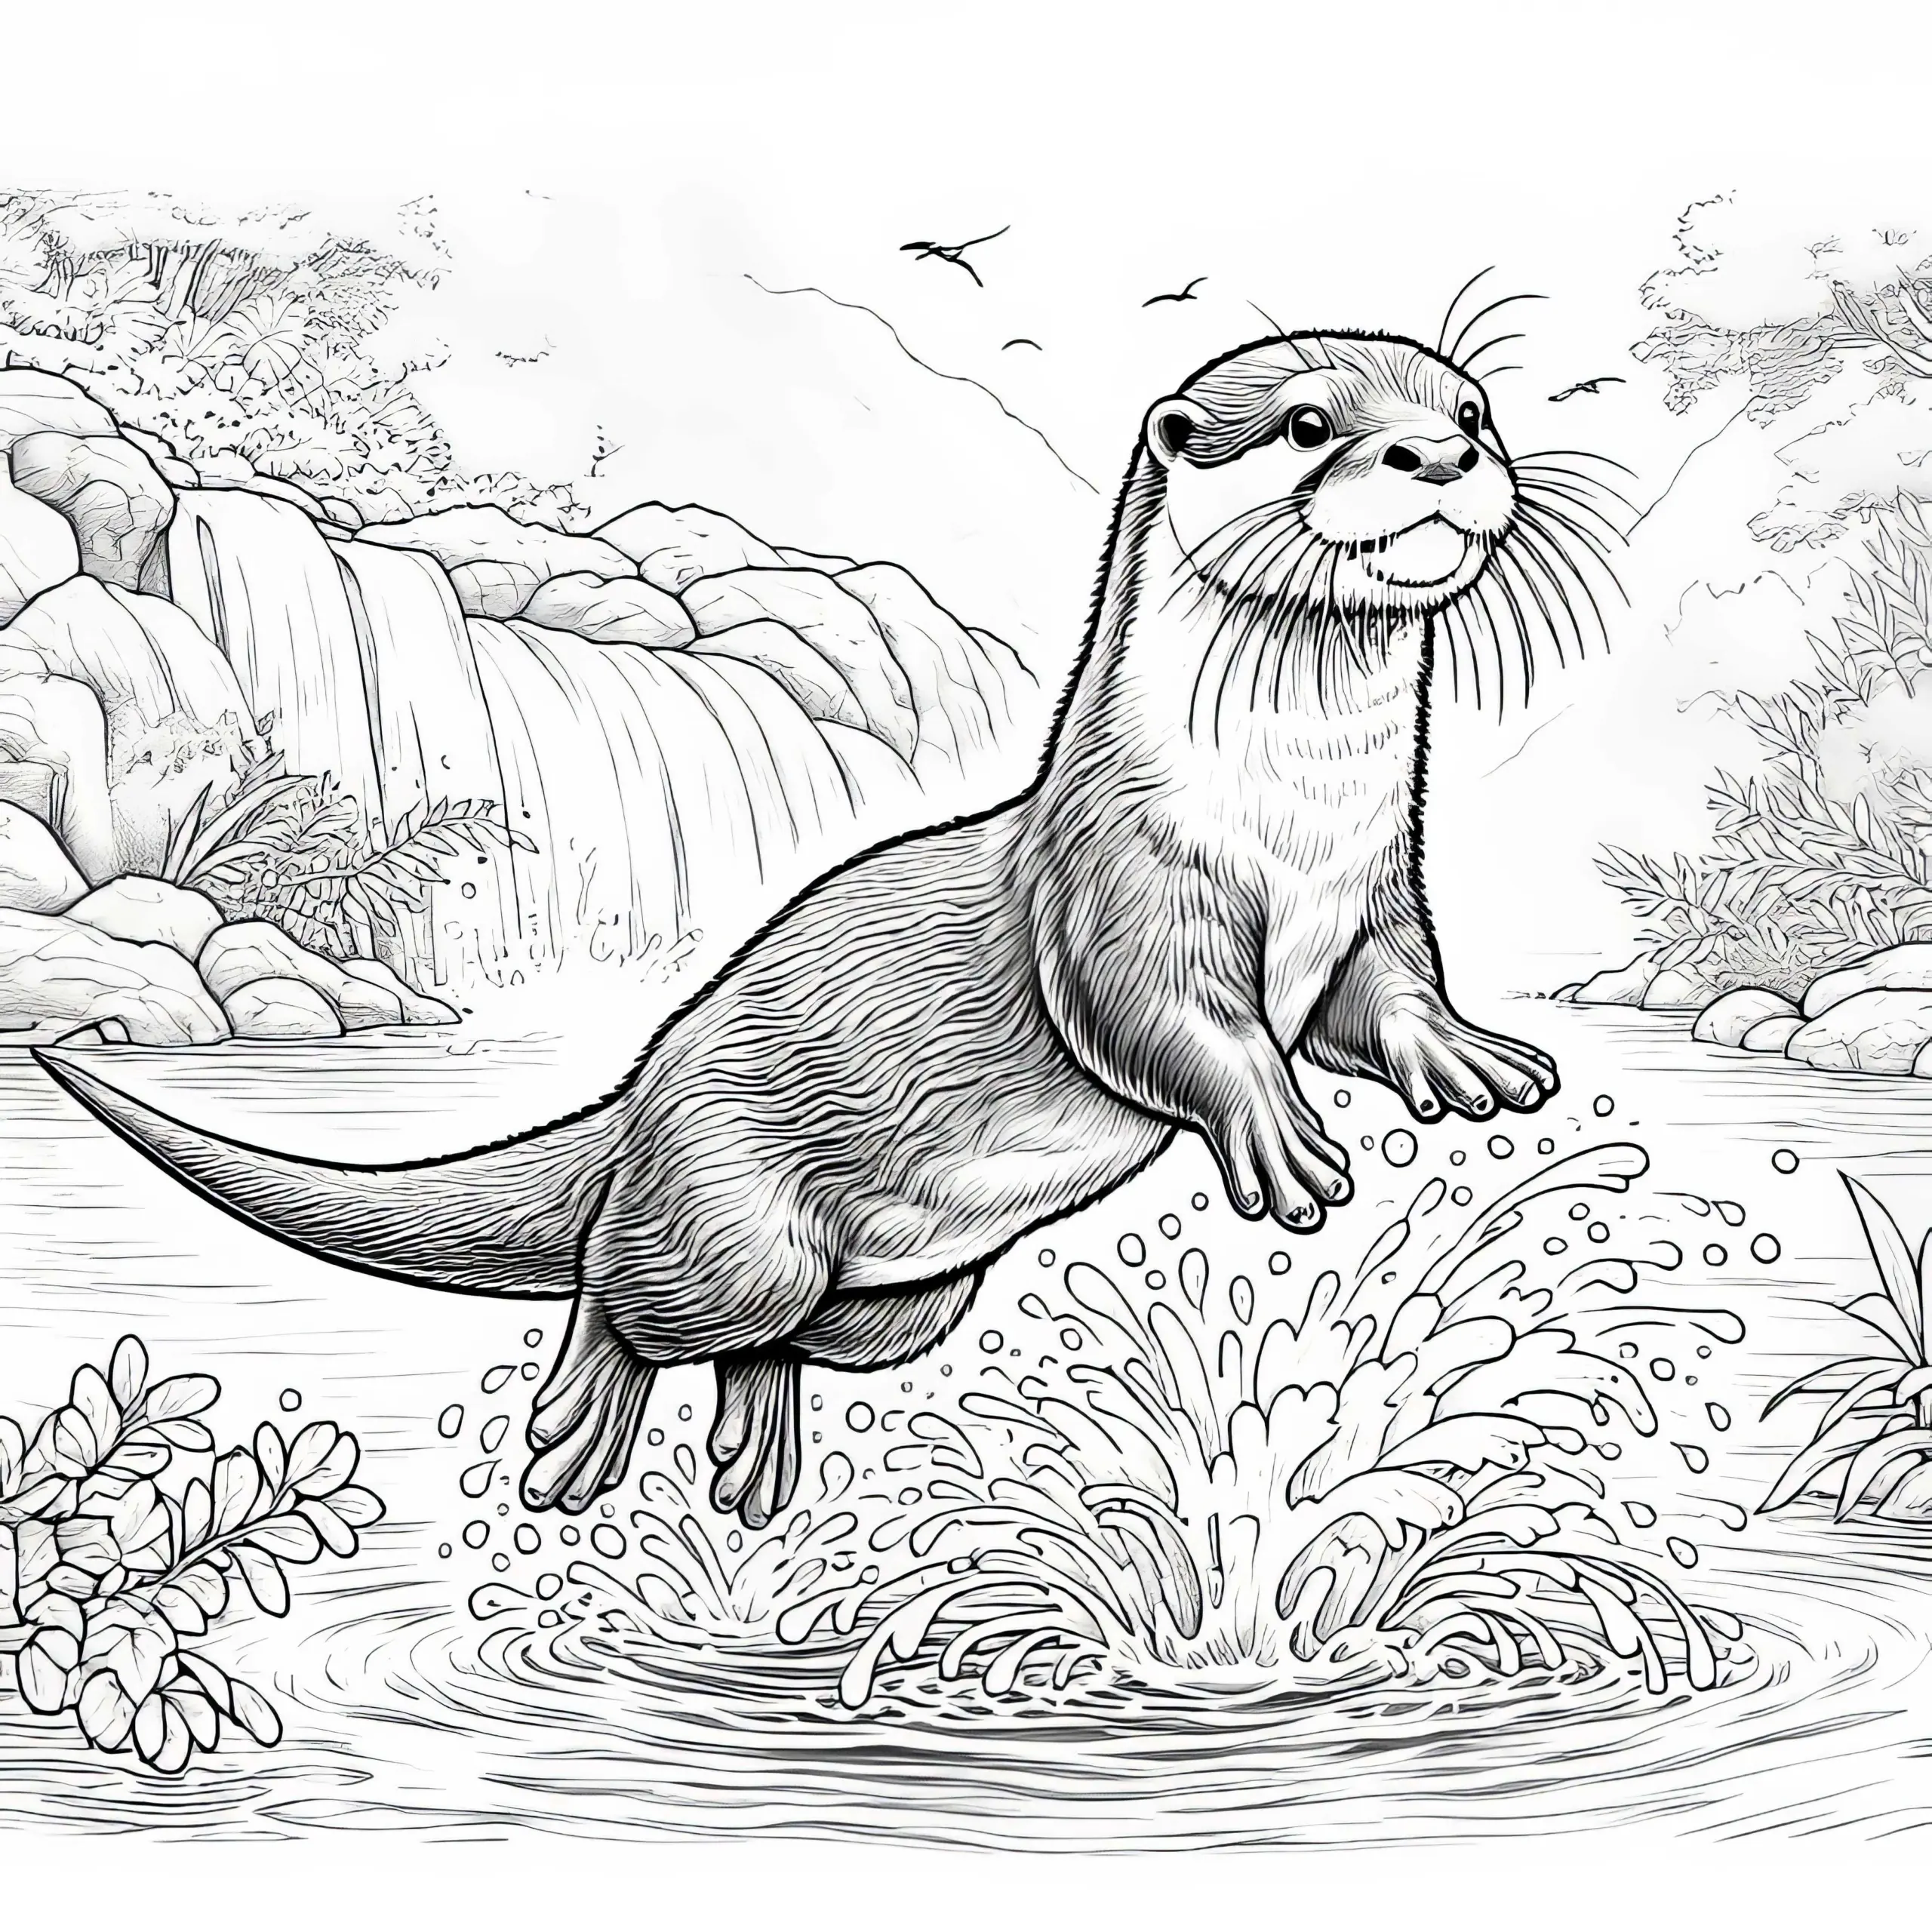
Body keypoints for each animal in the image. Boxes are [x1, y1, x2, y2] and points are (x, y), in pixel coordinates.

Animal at [37, 330, 1570, 1531]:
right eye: (1312, 423)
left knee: (784, 1337)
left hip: (908, 1297)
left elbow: (1389, 993)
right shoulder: (1118, 882)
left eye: (1474, 407)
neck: (1285, 823)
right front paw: (1274, 1129)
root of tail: (640, 1090)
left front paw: (1470, 1058)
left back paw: (757, 1453)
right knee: (624, 1287)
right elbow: (1164, 1020)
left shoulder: (1371, 890)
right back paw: (583, 1426)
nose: (1437, 455)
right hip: (728, 1213)